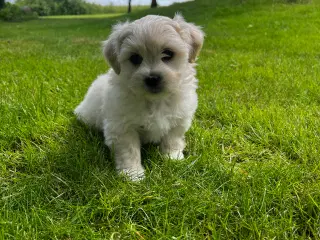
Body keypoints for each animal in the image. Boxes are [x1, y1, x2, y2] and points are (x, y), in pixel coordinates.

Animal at [74, 13, 204, 180]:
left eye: (168, 53)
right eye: (135, 58)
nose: (152, 78)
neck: (154, 101)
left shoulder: (179, 119)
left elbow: (173, 139)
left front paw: (172, 158)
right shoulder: (122, 128)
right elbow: (129, 151)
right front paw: (133, 174)